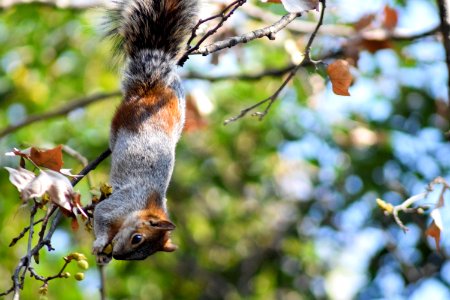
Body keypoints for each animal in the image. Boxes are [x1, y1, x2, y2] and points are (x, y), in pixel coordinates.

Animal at [91, 0, 197, 264]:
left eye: (142, 256)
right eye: (137, 238)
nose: (117, 256)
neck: (143, 206)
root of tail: (153, 86)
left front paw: (104, 256)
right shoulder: (118, 204)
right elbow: (100, 214)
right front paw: (100, 243)